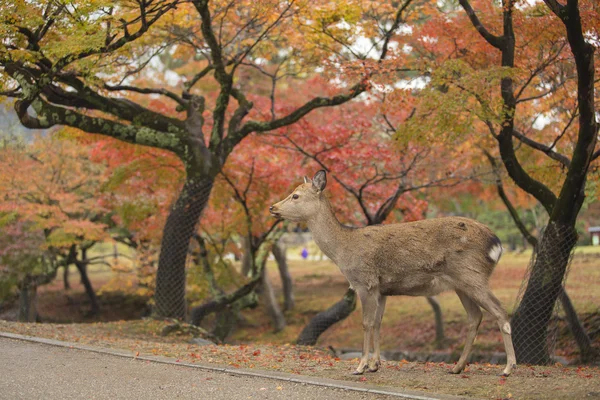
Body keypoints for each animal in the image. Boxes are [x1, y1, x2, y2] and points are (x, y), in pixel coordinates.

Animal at [270, 170, 516, 376]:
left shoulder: (365, 282)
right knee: (475, 317)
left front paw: (360, 366)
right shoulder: (382, 289)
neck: (343, 250)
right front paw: (374, 365)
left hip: (472, 275)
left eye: (295, 195)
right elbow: (378, 323)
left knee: (500, 311)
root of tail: (497, 244)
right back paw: (457, 367)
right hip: (462, 283)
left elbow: (366, 323)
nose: (273, 207)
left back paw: (508, 367)